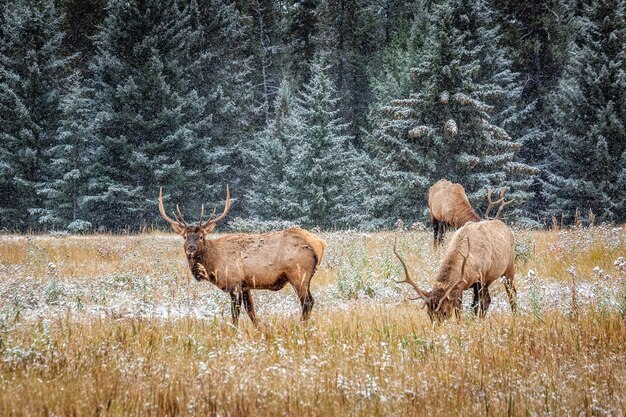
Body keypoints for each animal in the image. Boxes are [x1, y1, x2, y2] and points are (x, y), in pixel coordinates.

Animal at [157, 185, 326, 324]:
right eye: (185, 236)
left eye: (201, 236)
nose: (191, 248)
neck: (213, 263)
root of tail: (319, 244)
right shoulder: (246, 286)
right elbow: (252, 312)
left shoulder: (234, 282)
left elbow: (235, 314)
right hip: (305, 277)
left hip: (298, 274)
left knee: (307, 302)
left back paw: (300, 327)